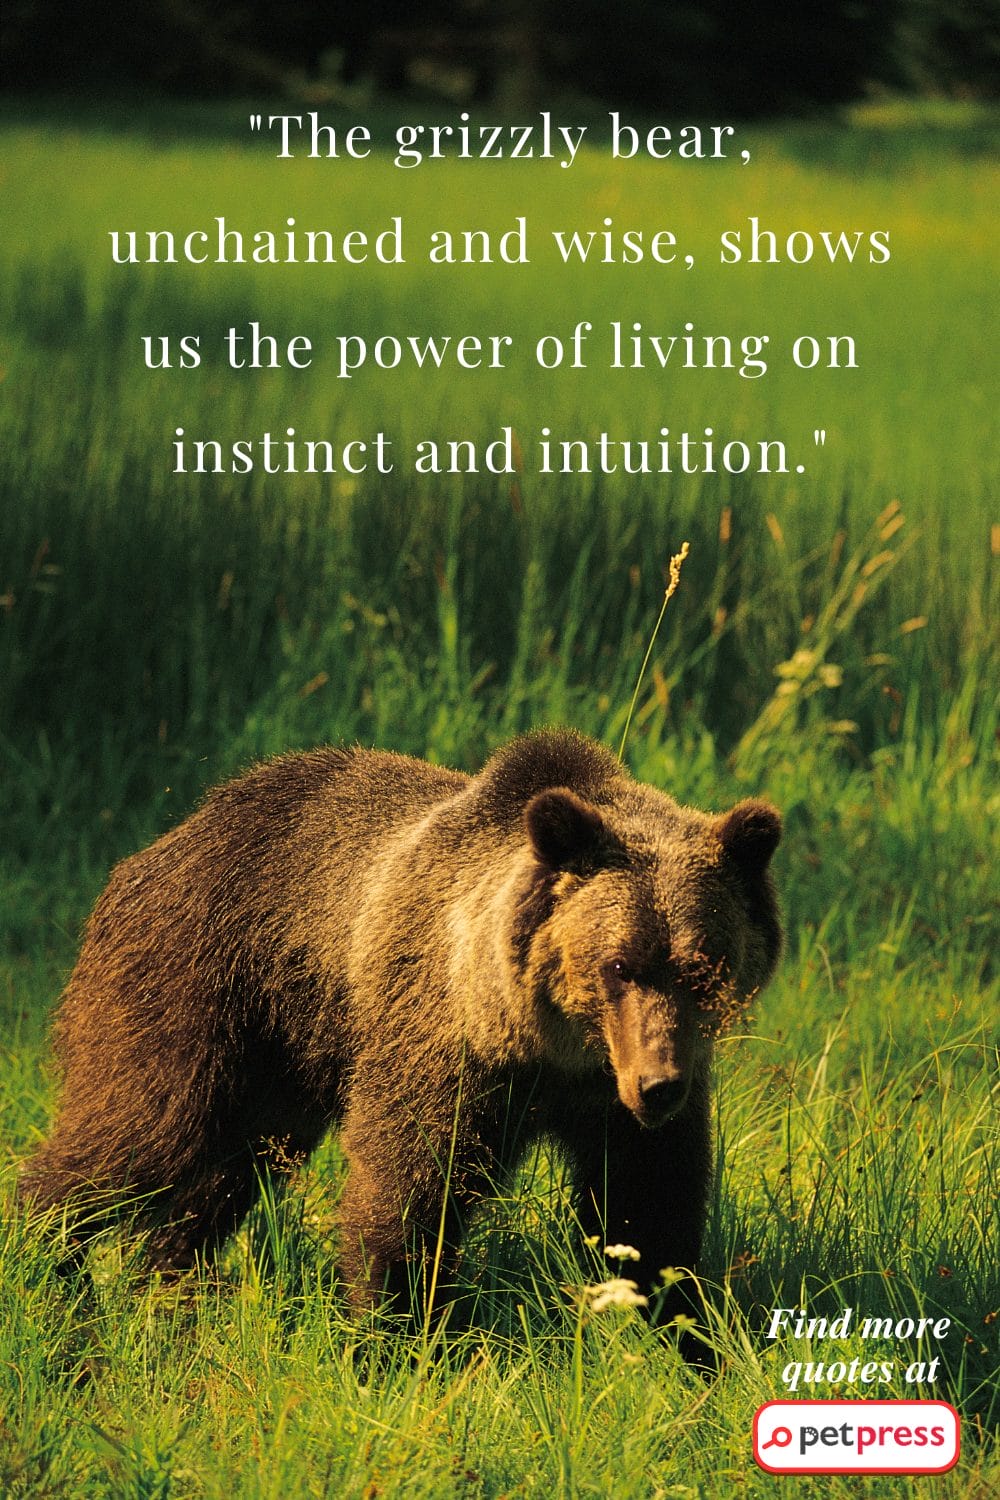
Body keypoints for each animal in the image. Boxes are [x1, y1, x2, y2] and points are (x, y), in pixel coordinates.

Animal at [20, 728, 781, 1318]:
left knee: (222, 1176)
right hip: (194, 990)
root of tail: (162, 842)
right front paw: (388, 1328)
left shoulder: (610, 1097)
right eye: (618, 964)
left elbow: (649, 1206)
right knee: (141, 1131)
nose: (658, 1084)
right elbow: (407, 1184)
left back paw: (166, 1286)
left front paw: (679, 1334)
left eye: (703, 967)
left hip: (281, 1063)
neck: (545, 1045)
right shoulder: (441, 1047)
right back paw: (44, 1263)